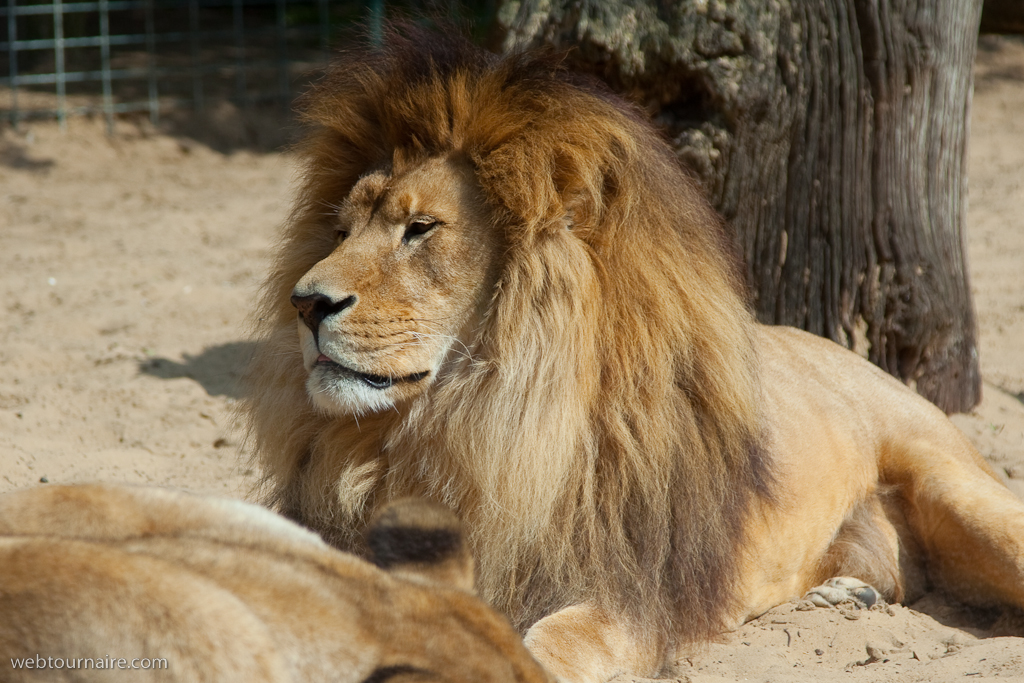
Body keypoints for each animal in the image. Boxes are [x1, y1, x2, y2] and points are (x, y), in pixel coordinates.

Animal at [244, 27, 1024, 683]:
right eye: (341, 230)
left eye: (420, 228)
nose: (304, 302)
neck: (470, 428)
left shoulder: (632, 590)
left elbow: (547, 642)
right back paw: (848, 592)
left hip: (955, 487)